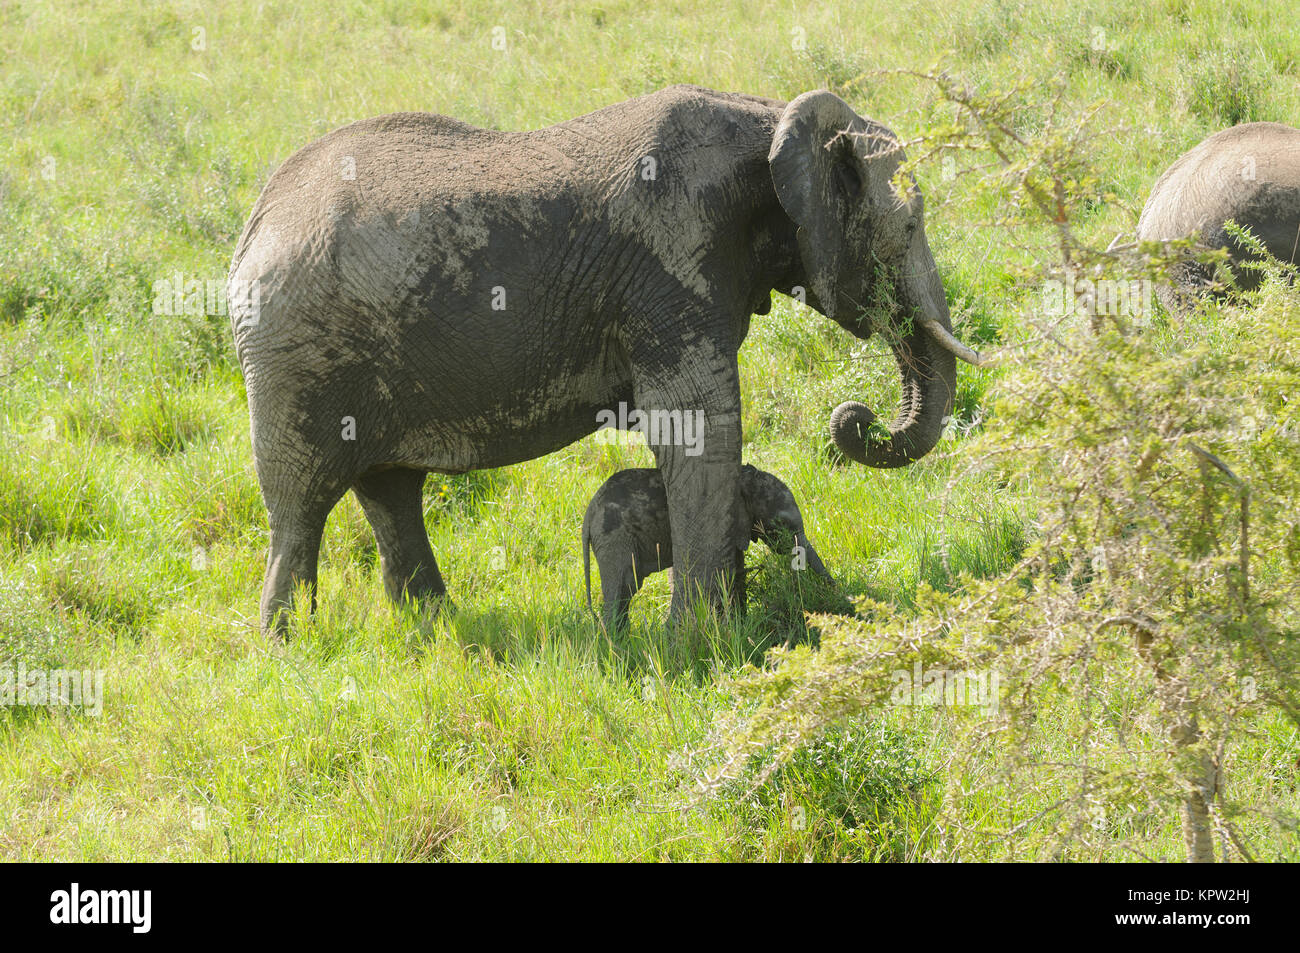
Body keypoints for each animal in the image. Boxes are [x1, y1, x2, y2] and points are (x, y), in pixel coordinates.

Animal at [582, 462, 826, 629]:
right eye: (781, 523)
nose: (830, 590)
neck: (744, 480)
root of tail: (589, 514)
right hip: (615, 537)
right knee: (624, 586)